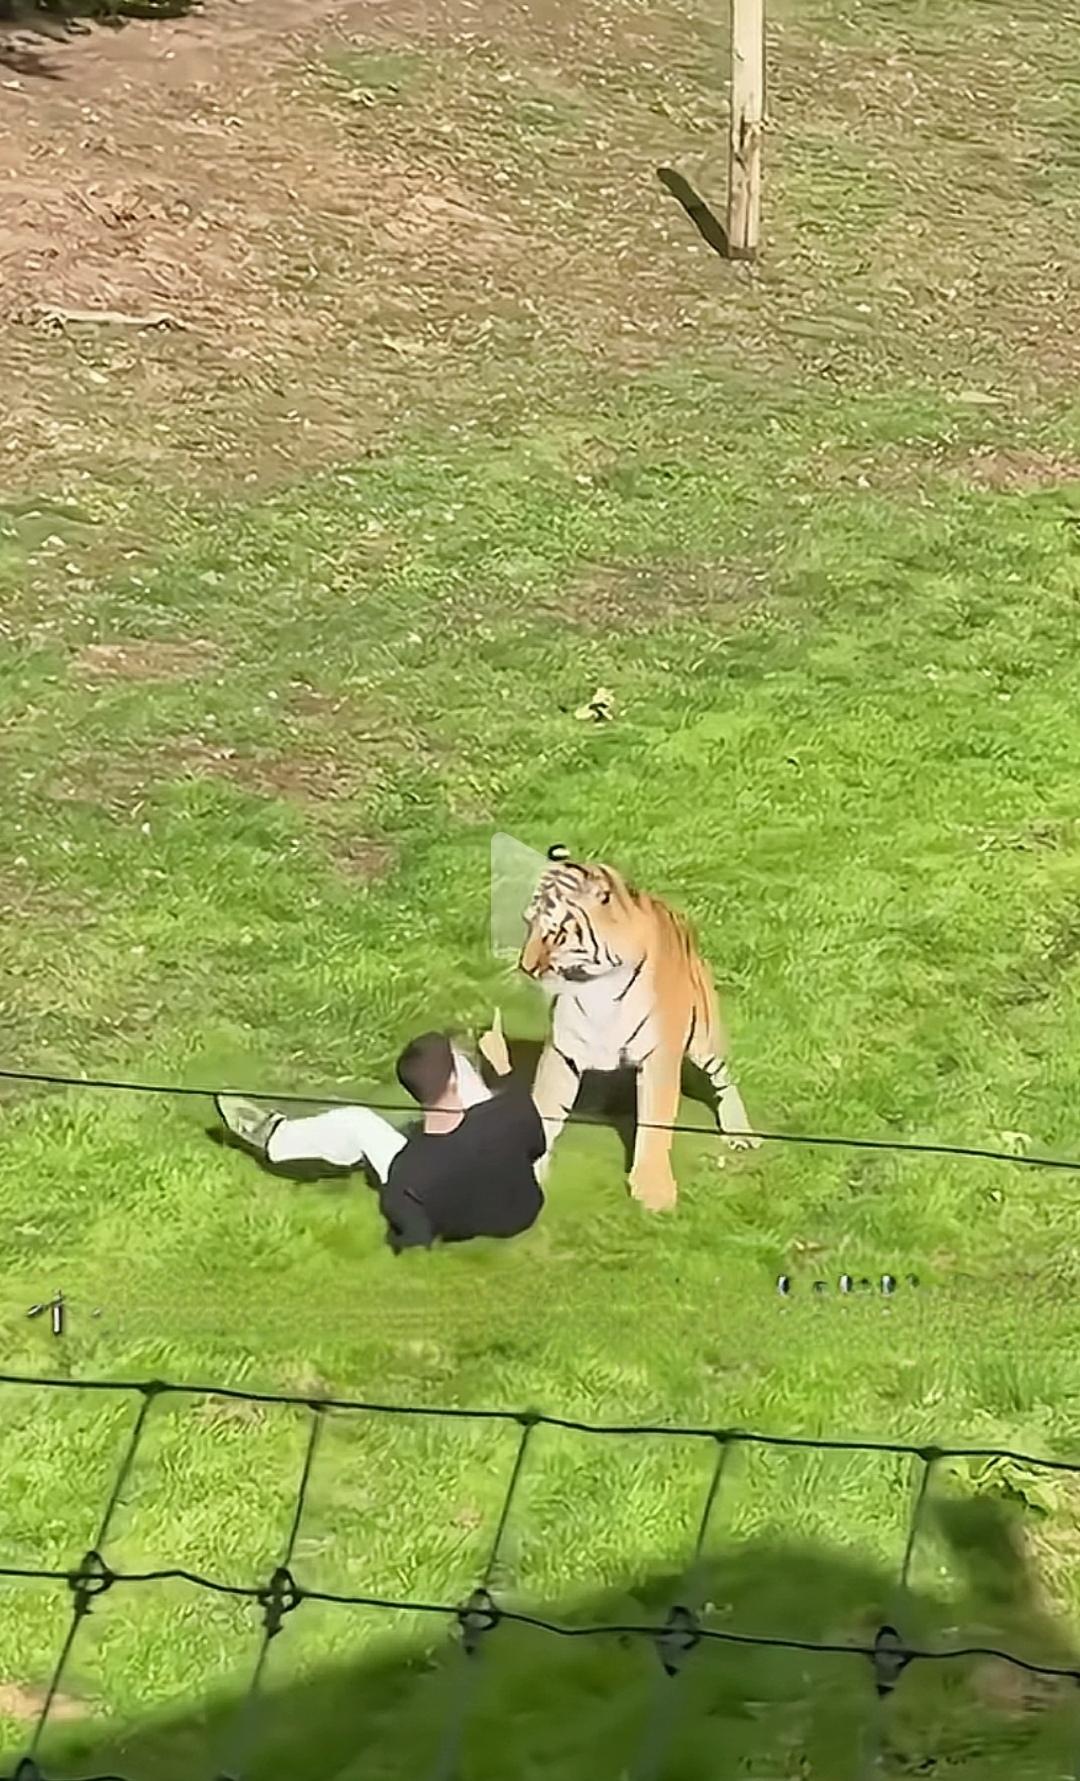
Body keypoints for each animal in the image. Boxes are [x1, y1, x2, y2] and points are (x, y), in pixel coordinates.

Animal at [518, 845, 759, 1211]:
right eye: (528, 924)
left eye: (557, 933)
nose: (526, 967)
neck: (597, 988)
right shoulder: (563, 1050)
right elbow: (545, 1109)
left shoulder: (660, 1056)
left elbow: (655, 1124)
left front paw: (653, 1191)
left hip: (704, 1039)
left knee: (724, 1079)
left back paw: (739, 1132)